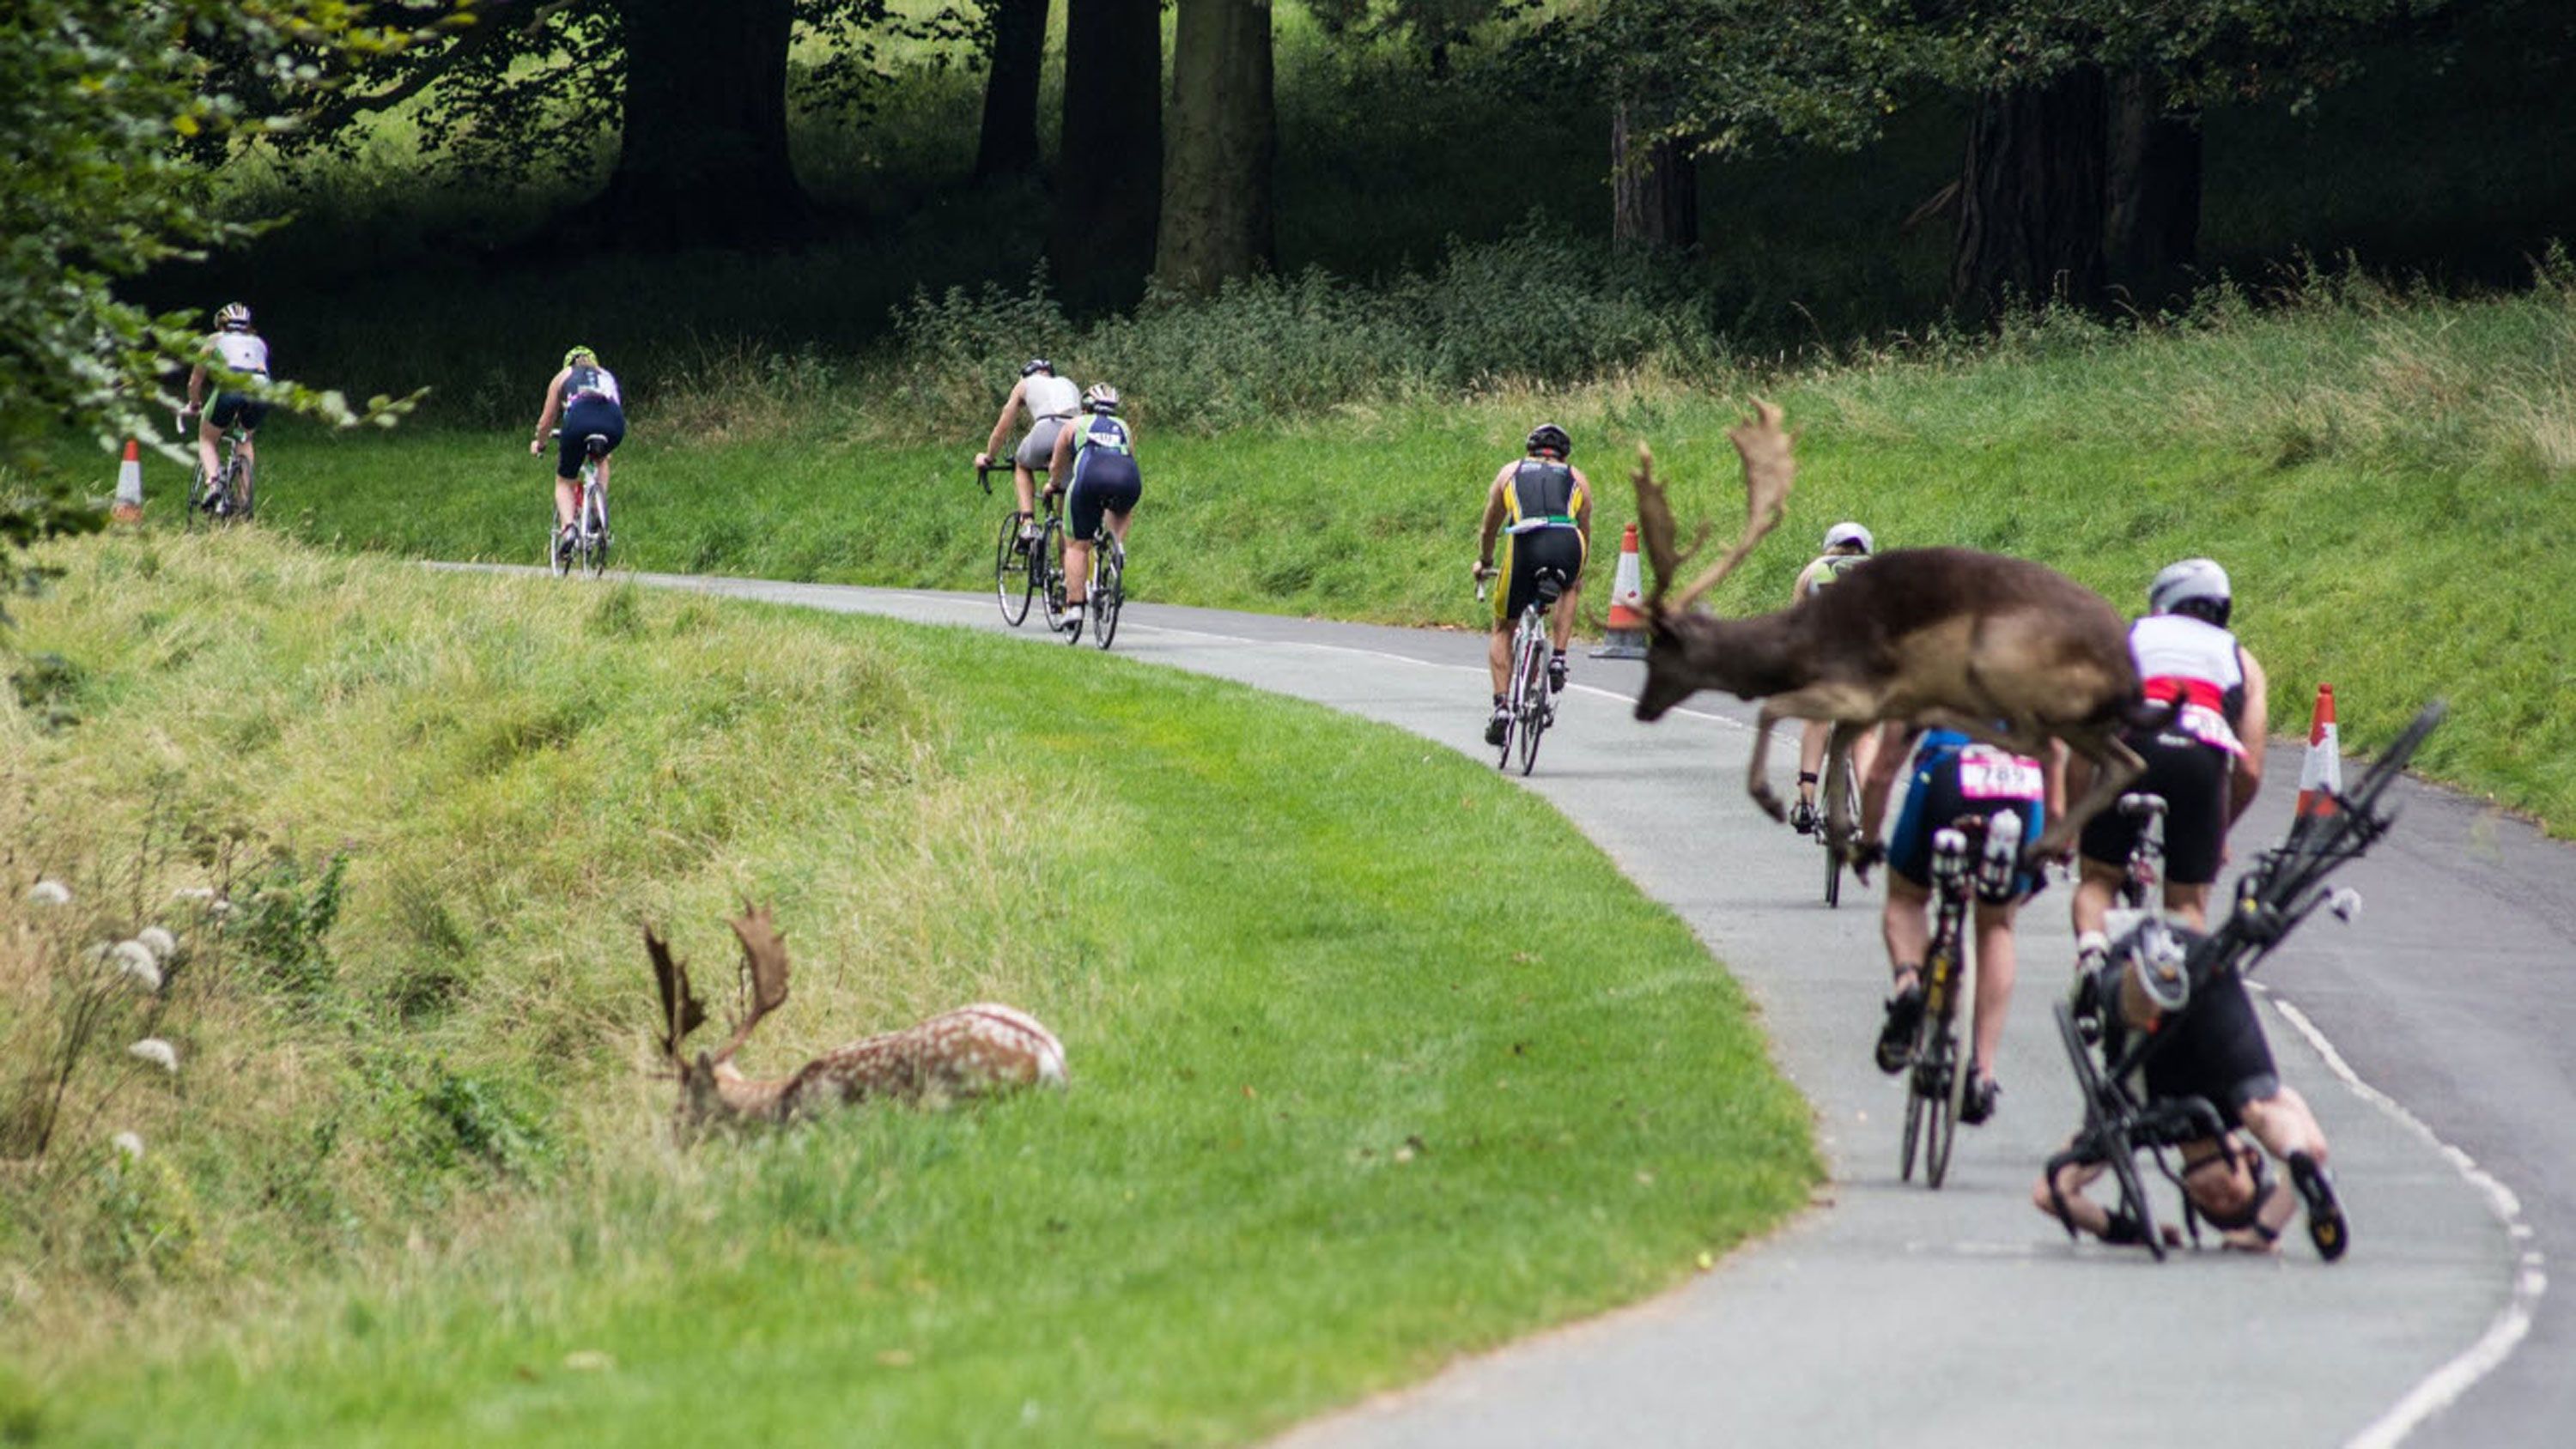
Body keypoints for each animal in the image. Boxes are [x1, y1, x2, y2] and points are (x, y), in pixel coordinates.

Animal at [1628, 396, 2174, 870]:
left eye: (1656, 654)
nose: (1642, 709)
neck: (1800, 647)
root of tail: (2127, 674)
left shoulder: (1854, 685)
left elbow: (1772, 709)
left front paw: (1771, 799)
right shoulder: (1861, 708)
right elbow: (1840, 750)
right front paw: (1847, 838)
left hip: (2001, 658)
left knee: (2036, 743)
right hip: (2079, 718)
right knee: (2122, 762)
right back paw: (2042, 844)